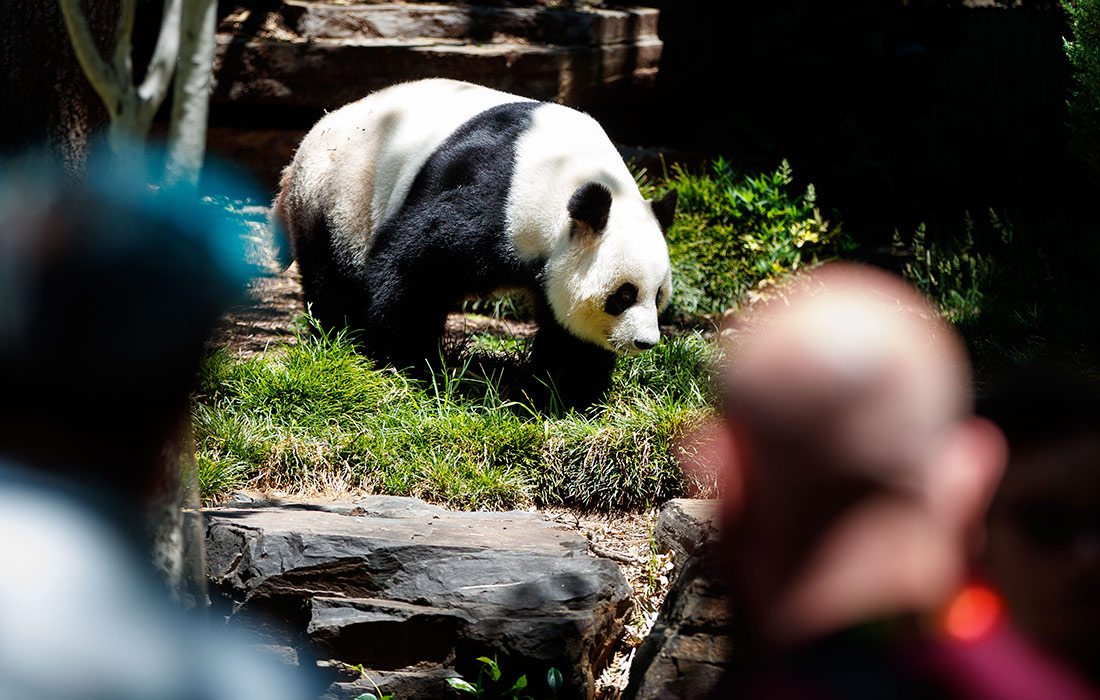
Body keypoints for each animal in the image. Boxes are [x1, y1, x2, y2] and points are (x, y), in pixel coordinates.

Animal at [270, 79, 673, 409]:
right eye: (623, 294)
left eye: (657, 296)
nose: (646, 342)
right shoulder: (497, 197)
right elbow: (415, 263)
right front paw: (410, 360)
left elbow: (569, 331)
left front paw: (564, 391)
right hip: (336, 198)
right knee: (333, 277)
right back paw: (341, 338)